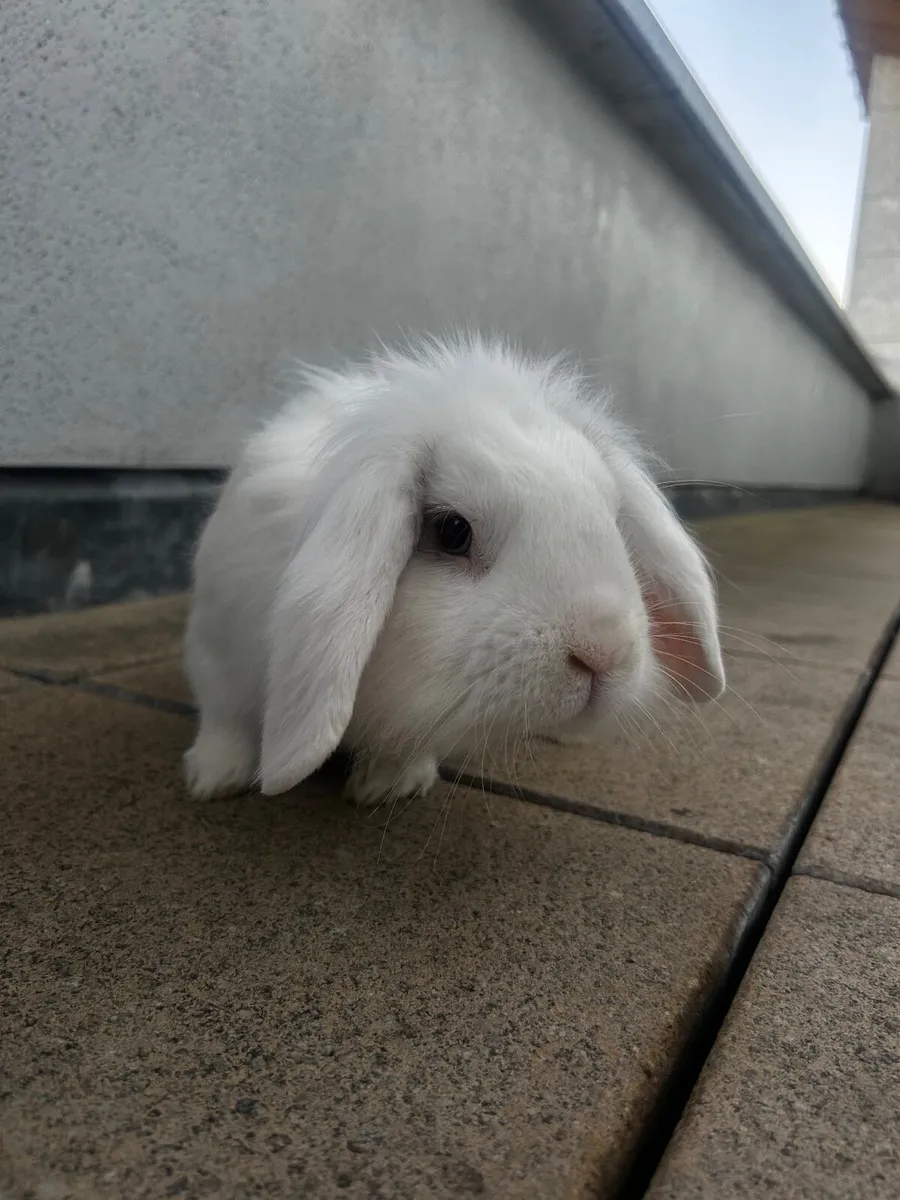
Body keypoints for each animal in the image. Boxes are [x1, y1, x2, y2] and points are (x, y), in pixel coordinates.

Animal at [183, 335, 725, 805]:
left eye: (613, 520)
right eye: (452, 531)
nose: (604, 652)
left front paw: (388, 785)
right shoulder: (217, 648)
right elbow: (225, 718)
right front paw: (213, 779)